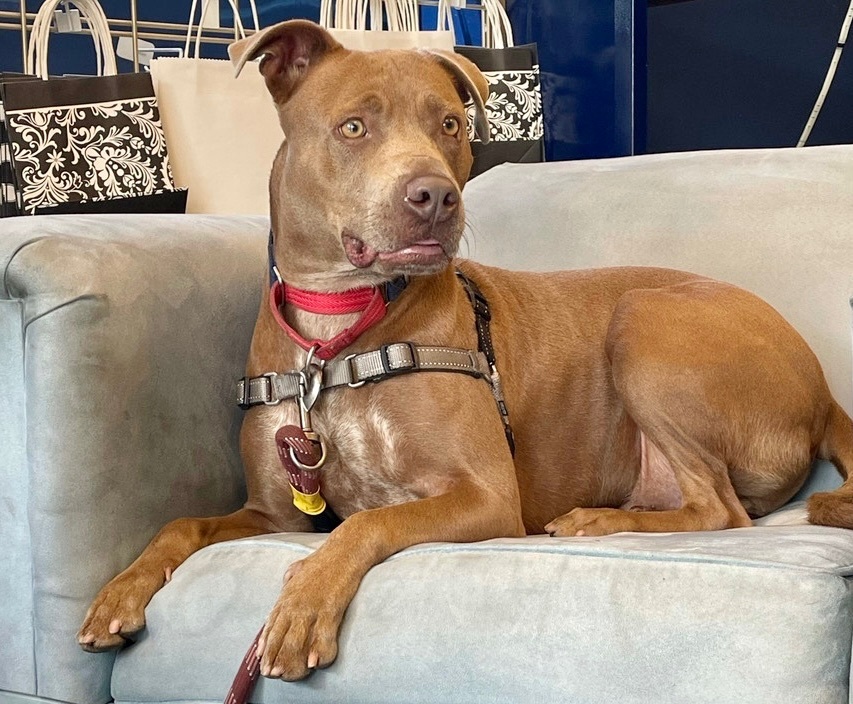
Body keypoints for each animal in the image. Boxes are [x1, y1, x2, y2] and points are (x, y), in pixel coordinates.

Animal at [76, 20, 852, 680]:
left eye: (448, 125)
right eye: (353, 127)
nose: (435, 196)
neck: (340, 326)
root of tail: (824, 395)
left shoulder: (484, 496)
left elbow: (370, 522)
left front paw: (304, 601)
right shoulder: (274, 513)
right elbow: (184, 521)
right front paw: (121, 589)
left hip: (645, 320)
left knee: (721, 510)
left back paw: (596, 520)